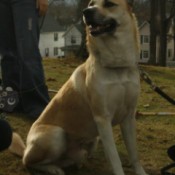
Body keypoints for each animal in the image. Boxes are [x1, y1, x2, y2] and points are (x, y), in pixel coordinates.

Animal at [22, 0, 148, 175]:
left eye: (109, 3)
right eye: (91, 3)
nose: (86, 12)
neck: (117, 67)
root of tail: (26, 147)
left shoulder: (129, 117)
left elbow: (134, 154)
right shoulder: (103, 119)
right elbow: (115, 157)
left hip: (92, 142)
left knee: (67, 159)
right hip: (56, 135)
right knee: (28, 162)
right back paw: (53, 169)